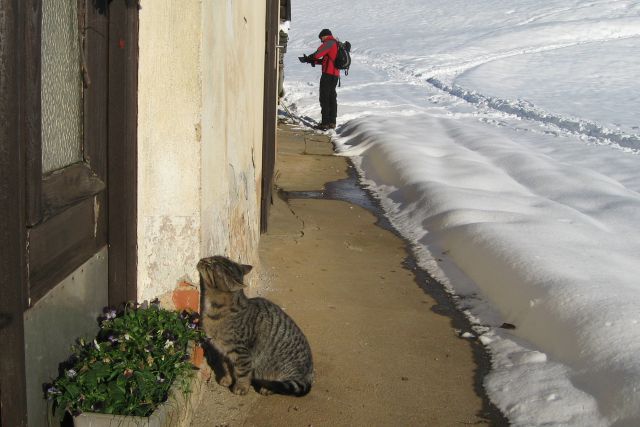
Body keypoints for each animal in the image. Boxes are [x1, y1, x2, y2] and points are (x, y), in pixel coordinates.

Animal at [198, 256, 312, 396]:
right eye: (212, 258)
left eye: (211, 263)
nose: (202, 259)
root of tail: (309, 374)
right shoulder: (224, 352)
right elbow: (226, 367)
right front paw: (227, 379)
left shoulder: (242, 352)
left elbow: (242, 372)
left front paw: (241, 387)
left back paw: (267, 388)